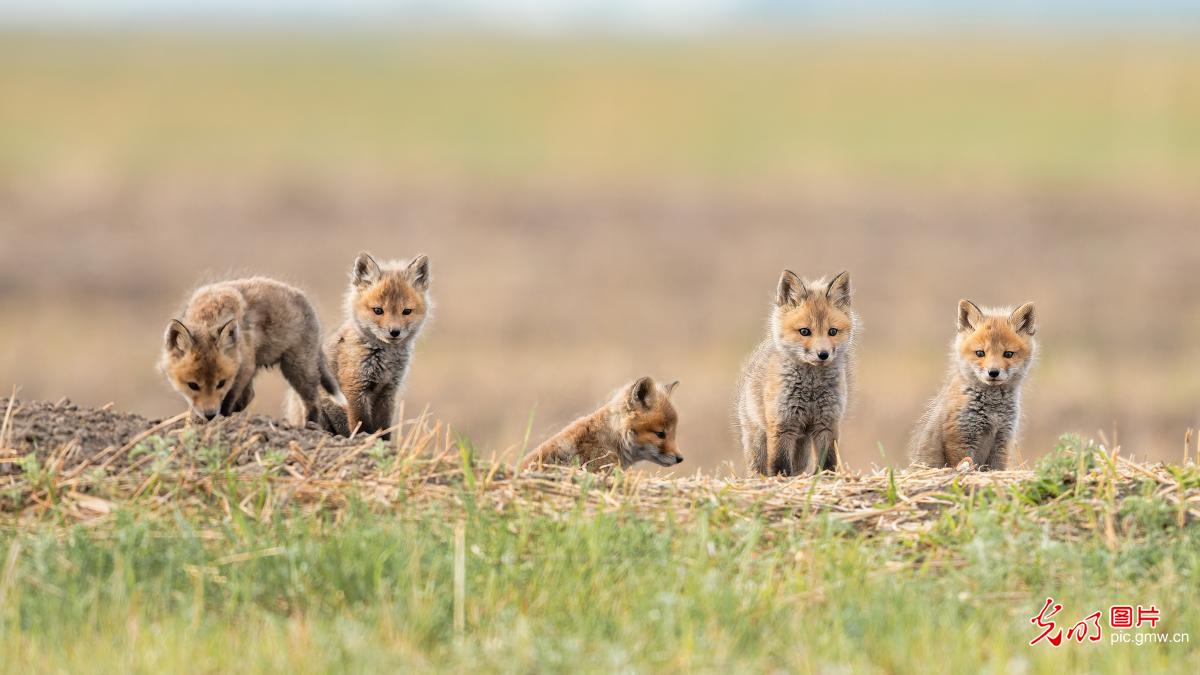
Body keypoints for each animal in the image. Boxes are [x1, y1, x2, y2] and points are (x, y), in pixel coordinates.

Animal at [160, 277, 340, 423]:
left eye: (221, 383)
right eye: (193, 385)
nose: (210, 415)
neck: (210, 315)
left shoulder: (244, 368)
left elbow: (228, 399)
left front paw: (223, 418)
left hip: (297, 367)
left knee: (312, 399)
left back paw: (310, 425)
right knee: (250, 395)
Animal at [287, 252, 431, 439]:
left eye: (406, 311)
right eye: (378, 310)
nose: (394, 332)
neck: (386, 360)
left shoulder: (388, 391)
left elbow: (383, 428)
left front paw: (384, 443)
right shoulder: (355, 388)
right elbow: (361, 424)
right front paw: (363, 440)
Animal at [735, 270, 856, 476]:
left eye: (832, 331)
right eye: (805, 331)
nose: (823, 354)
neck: (811, 389)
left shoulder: (827, 423)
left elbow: (828, 461)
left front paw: (826, 478)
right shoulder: (782, 424)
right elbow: (779, 463)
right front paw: (780, 479)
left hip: (802, 444)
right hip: (758, 439)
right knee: (758, 466)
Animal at [909, 300, 1038, 471]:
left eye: (1008, 354)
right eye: (980, 353)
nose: (993, 372)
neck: (993, 411)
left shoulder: (1002, 441)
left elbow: (995, 469)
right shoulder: (960, 438)